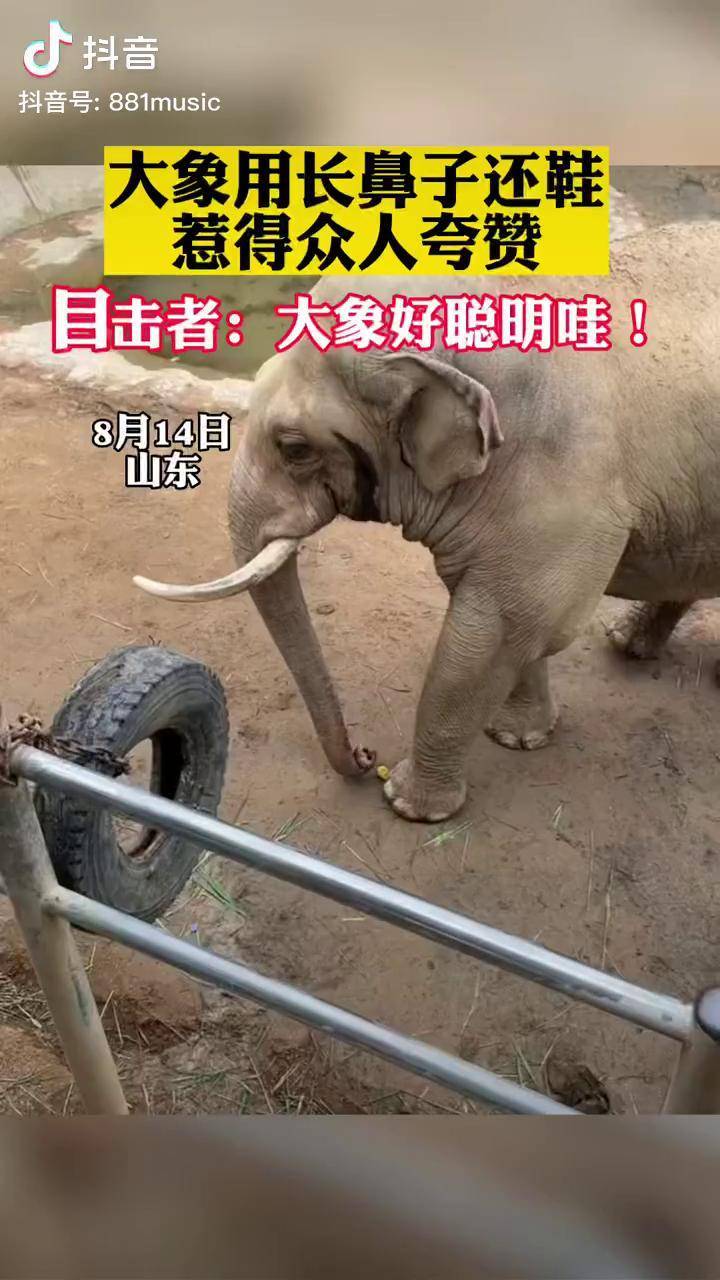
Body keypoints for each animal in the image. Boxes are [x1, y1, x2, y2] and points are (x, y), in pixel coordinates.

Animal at [134, 221, 720, 822]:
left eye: (295, 448)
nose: (365, 755)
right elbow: (523, 627)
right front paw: (517, 738)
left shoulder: (568, 480)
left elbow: (507, 624)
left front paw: (409, 806)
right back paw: (627, 643)